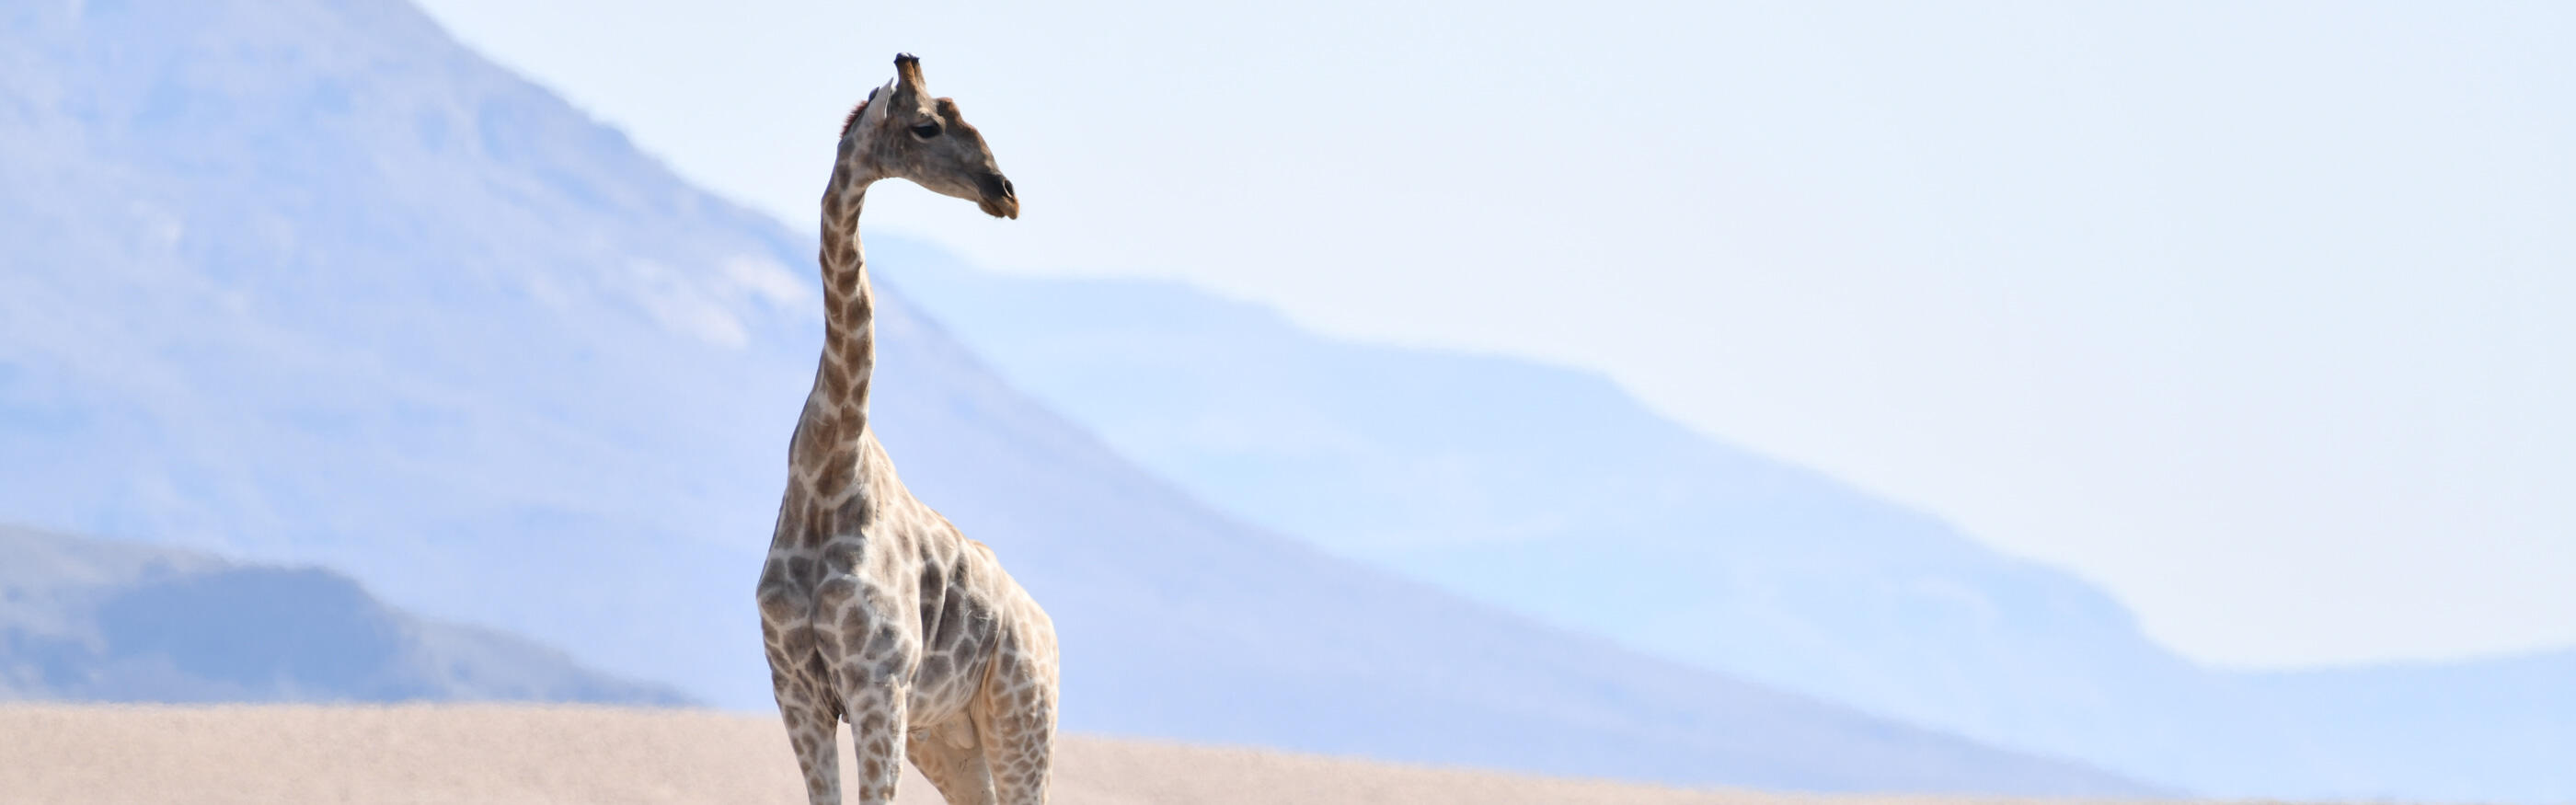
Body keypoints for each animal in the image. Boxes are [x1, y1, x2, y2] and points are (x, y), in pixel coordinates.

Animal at [756, 53, 1058, 805]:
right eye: (926, 126)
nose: (1006, 193)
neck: (826, 476)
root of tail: (1047, 629)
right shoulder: (796, 688)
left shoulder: (877, 684)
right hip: (948, 736)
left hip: (1021, 717)